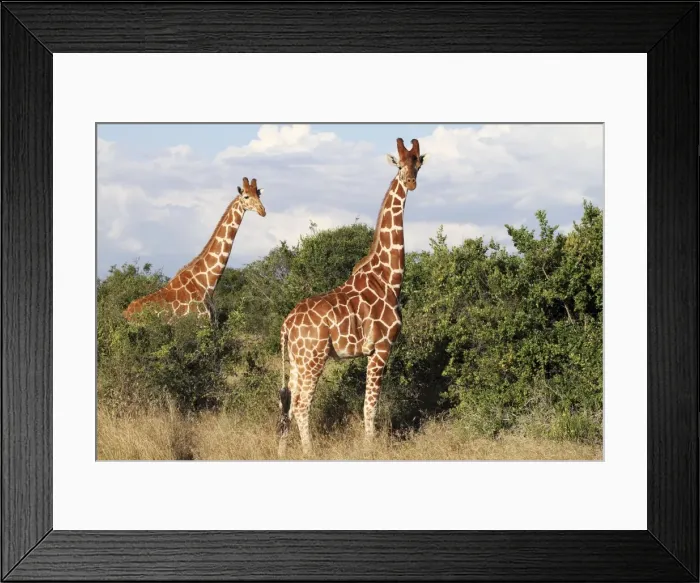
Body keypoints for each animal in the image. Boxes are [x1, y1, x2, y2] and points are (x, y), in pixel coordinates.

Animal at [123, 177, 267, 322]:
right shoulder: (201, 322)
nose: (263, 211)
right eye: (246, 196)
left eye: (258, 195)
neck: (207, 285)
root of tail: (125, 314)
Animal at [277, 138, 429, 457]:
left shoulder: (373, 351)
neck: (389, 277)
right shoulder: (381, 347)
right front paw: (370, 448)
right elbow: (370, 406)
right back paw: (310, 452)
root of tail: (286, 324)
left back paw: (282, 453)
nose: (410, 182)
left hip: (296, 360)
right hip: (314, 357)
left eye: (418, 164)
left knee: (288, 405)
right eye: (400, 165)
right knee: (301, 405)